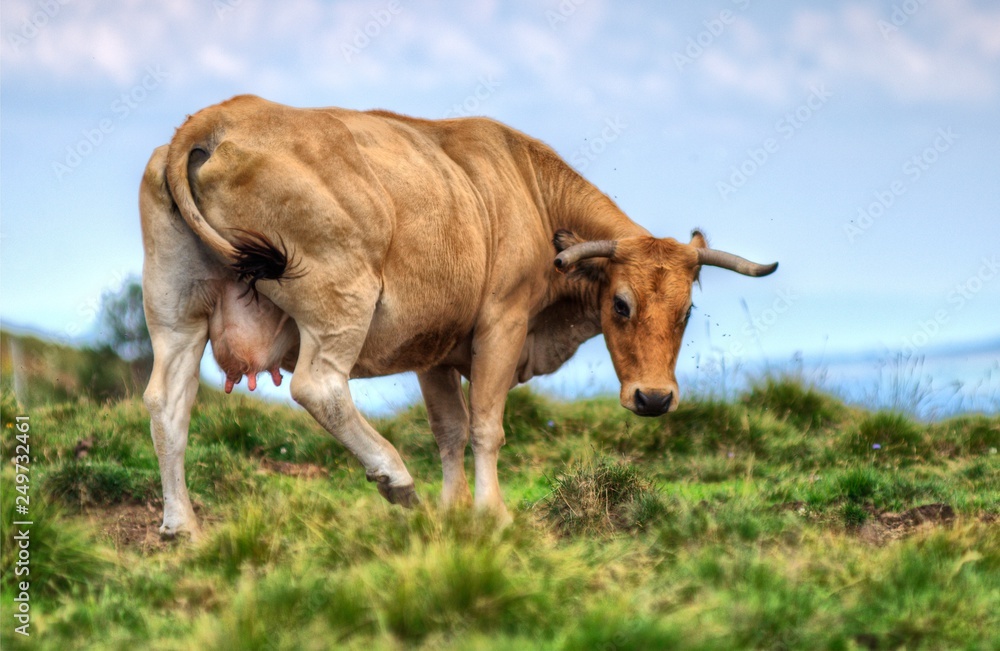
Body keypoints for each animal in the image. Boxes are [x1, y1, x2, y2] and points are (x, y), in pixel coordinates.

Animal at [139, 93, 772, 540]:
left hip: (176, 314)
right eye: (621, 303)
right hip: (341, 295)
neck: (530, 191)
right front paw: (492, 514)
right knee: (319, 387)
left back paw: (182, 526)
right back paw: (394, 476)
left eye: (687, 310)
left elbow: (449, 430)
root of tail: (218, 117)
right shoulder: (502, 324)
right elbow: (486, 426)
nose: (655, 398)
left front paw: (454, 512)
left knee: (167, 405)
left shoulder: (434, 350)